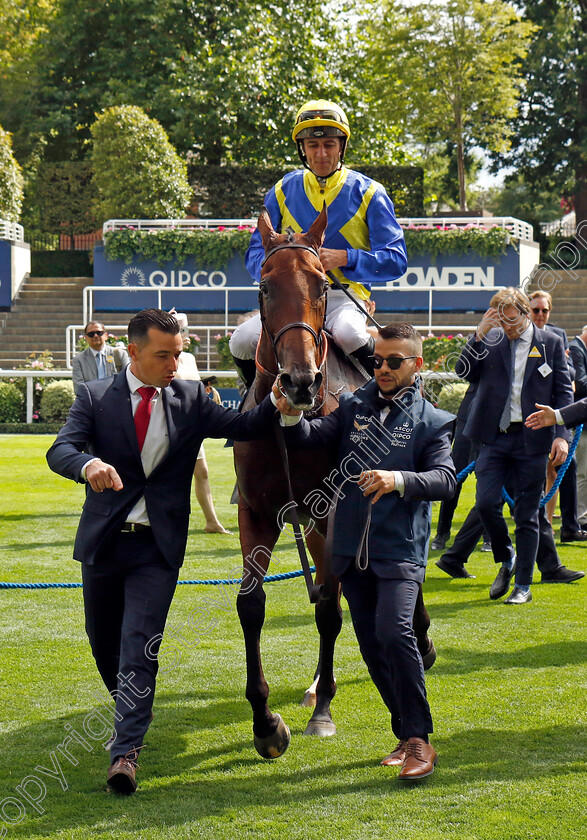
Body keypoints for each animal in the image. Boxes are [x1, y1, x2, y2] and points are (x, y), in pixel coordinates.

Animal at [233, 207, 432, 756]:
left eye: (322, 284)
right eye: (263, 286)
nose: (300, 382)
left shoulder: (333, 512)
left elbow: (327, 608)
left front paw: (322, 710)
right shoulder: (256, 513)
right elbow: (251, 604)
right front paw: (265, 722)